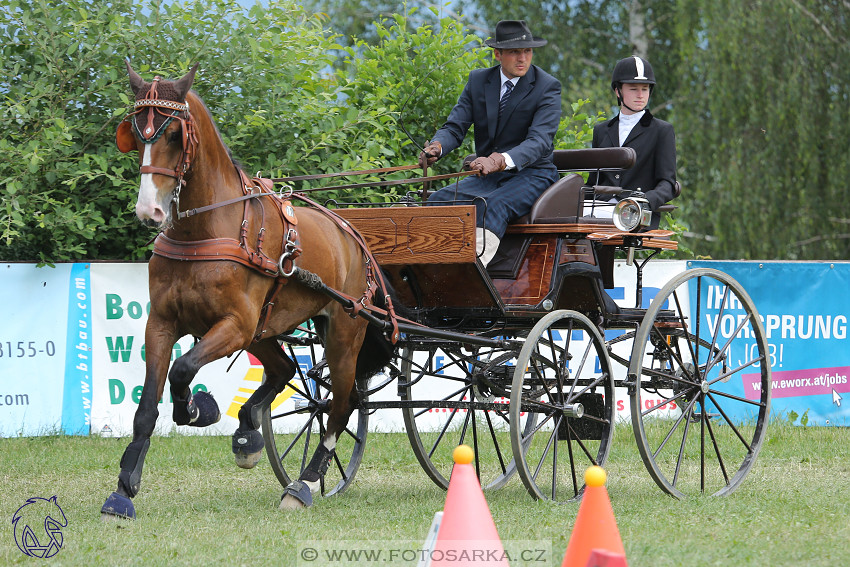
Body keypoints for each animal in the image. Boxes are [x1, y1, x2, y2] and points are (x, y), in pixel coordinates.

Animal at [101, 62, 392, 520]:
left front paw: (196, 408)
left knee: (340, 407)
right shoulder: (161, 323)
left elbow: (182, 369)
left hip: (343, 334)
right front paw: (123, 489)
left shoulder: (234, 325)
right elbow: (147, 406)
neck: (205, 231)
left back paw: (304, 482)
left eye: (173, 134)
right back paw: (249, 431)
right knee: (286, 370)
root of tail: (352, 235)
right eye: (134, 131)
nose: (150, 211)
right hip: (265, 329)